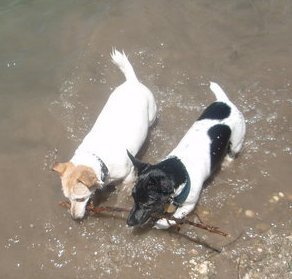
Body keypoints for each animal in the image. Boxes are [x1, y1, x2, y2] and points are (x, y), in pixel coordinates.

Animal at [52, 50, 157, 221]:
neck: (99, 158)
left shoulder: (128, 174)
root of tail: (132, 81)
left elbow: (124, 190)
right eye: (67, 198)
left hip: (152, 115)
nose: (74, 218)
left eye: (80, 199)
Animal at [126, 82, 245, 230]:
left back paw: (227, 161)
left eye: (147, 204)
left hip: (237, 141)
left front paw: (160, 224)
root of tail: (225, 102)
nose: (129, 222)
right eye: (133, 197)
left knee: (232, 152)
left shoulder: (188, 206)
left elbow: (173, 218)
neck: (180, 167)